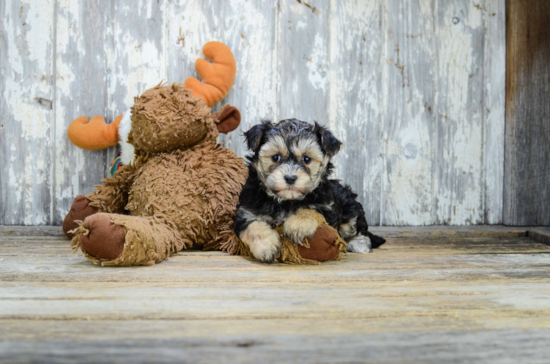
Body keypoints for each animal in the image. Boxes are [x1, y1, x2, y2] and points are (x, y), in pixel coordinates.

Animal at [235, 118, 386, 264]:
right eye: (275, 157)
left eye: (306, 159)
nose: (290, 178)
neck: (287, 201)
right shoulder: (247, 210)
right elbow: (253, 226)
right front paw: (266, 247)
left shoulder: (328, 207)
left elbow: (310, 209)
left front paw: (298, 225)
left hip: (351, 207)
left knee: (358, 230)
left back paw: (358, 244)